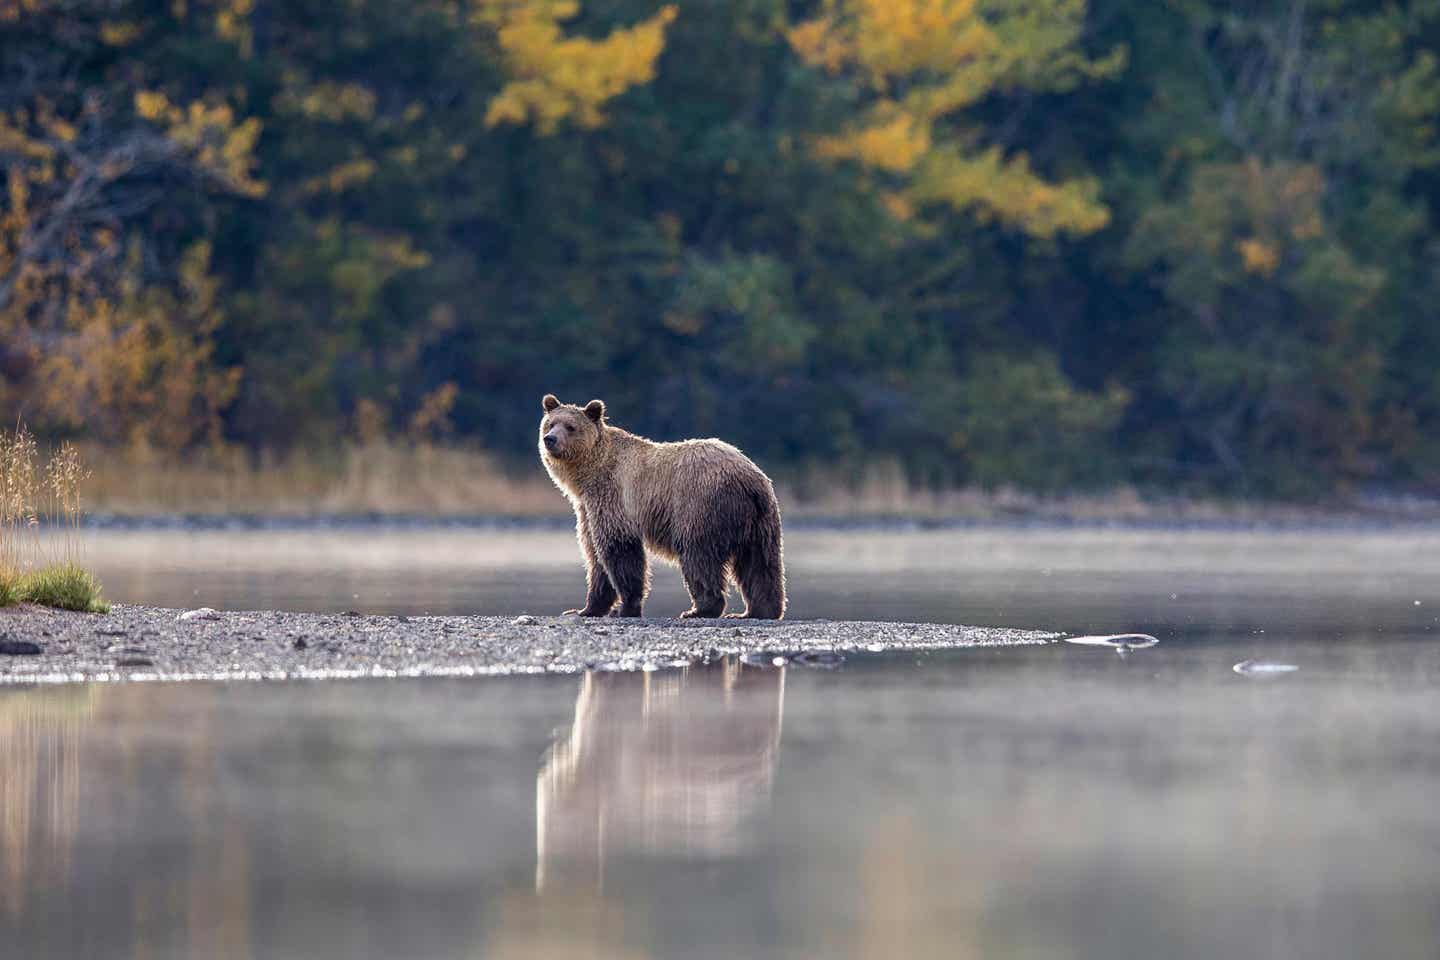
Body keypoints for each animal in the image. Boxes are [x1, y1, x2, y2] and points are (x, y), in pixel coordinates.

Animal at [541, 394, 789, 618]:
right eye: (551, 423)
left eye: (570, 427)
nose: (550, 439)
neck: (587, 477)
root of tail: (749, 479)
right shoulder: (587, 508)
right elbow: (595, 556)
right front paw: (586, 609)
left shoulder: (613, 496)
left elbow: (619, 551)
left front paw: (625, 608)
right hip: (762, 520)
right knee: (760, 563)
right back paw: (759, 611)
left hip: (700, 506)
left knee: (698, 556)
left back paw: (700, 609)